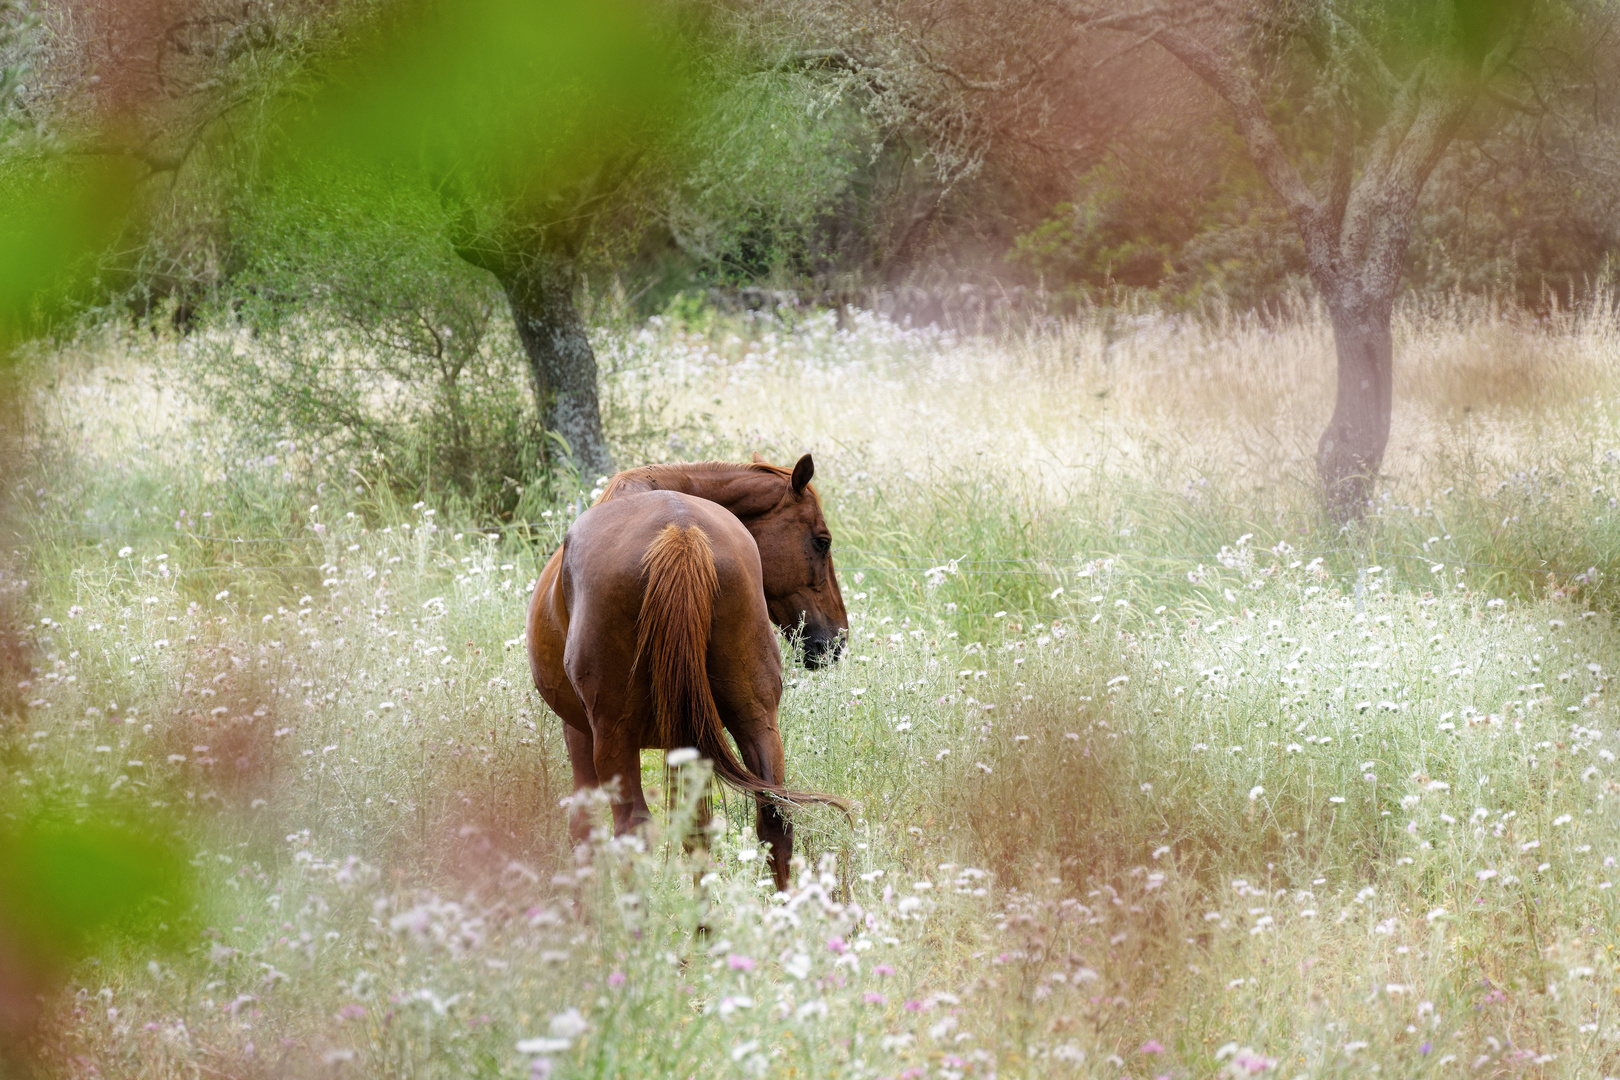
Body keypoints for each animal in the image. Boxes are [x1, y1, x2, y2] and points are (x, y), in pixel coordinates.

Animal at [531, 453, 855, 887]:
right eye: (823, 541)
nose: (836, 640)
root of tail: (681, 530)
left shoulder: (580, 732)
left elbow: (584, 833)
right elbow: (696, 831)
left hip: (614, 735)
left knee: (631, 833)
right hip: (756, 718)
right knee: (773, 819)